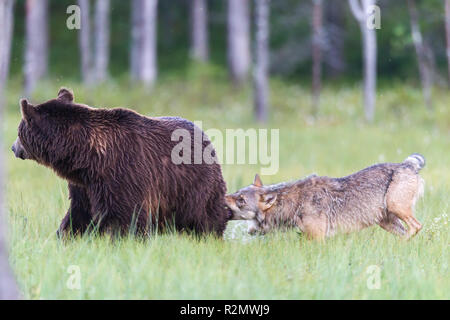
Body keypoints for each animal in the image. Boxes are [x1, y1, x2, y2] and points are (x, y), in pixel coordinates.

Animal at [12, 89, 230, 236]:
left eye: (18, 130)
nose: (14, 148)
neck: (85, 156)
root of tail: (205, 135)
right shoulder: (85, 184)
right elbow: (79, 214)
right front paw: (65, 236)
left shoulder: (123, 172)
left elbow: (125, 216)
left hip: (193, 183)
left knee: (205, 215)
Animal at [225, 154, 426, 239]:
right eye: (236, 193)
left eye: (241, 200)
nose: (223, 196)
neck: (295, 203)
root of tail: (407, 164)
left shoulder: (318, 238)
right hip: (385, 221)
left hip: (395, 208)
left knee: (416, 227)